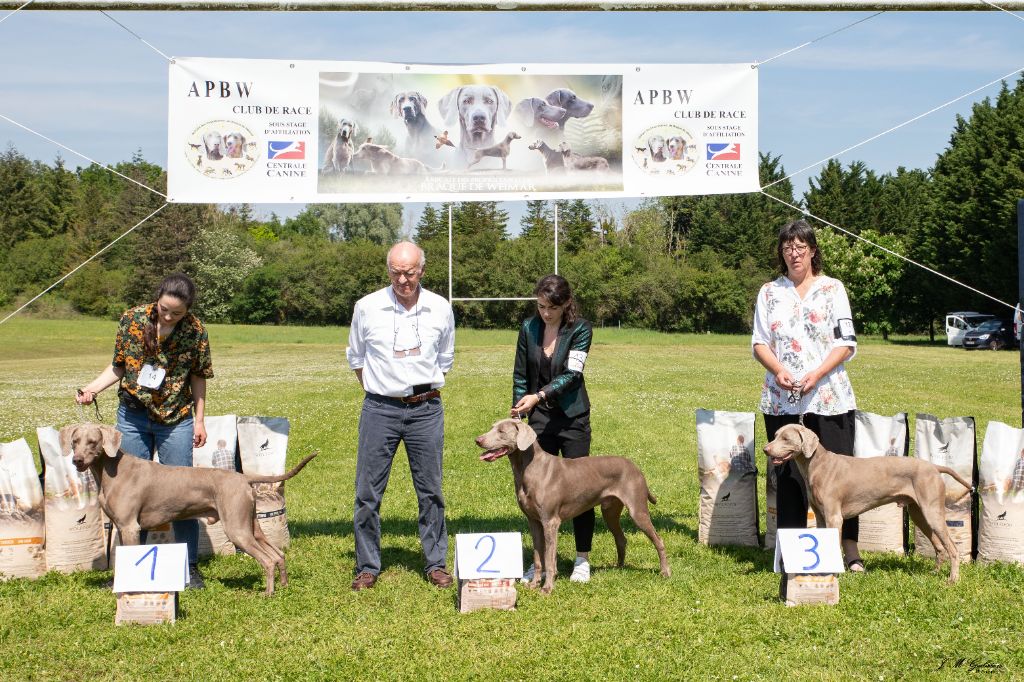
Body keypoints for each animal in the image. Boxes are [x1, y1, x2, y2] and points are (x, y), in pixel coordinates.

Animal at [60, 421, 315, 593]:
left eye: (93, 442)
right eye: (75, 442)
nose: (77, 460)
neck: (112, 469)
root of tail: (243, 477)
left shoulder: (130, 526)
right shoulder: (123, 527)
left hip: (237, 529)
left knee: (268, 559)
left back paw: (268, 593)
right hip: (251, 525)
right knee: (278, 554)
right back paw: (284, 585)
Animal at [473, 413, 671, 589]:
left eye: (501, 431)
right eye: (492, 427)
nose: (477, 440)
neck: (529, 468)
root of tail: (636, 467)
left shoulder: (550, 521)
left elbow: (549, 559)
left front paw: (547, 588)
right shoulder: (534, 522)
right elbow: (538, 558)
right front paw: (534, 584)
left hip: (637, 510)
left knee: (659, 540)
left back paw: (665, 572)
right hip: (610, 511)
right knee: (621, 539)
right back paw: (619, 567)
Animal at [765, 421, 970, 581]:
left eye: (786, 438)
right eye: (775, 436)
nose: (765, 449)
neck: (818, 464)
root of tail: (934, 467)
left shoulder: (834, 517)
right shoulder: (821, 517)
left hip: (932, 512)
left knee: (952, 548)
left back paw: (952, 579)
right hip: (918, 514)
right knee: (939, 546)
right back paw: (935, 572)